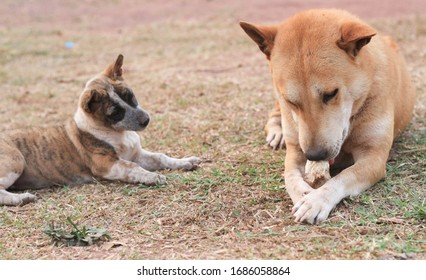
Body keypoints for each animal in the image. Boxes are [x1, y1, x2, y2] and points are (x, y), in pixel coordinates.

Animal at [0, 54, 201, 206]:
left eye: (130, 95)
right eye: (116, 112)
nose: (146, 120)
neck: (117, 133)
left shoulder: (137, 154)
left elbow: (161, 157)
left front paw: (184, 162)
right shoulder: (107, 165)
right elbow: (132, 168)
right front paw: (152, 177)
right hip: (16, 160)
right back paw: (21, 198)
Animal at [241, 8, 414, 223]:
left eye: (331, 94)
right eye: (291, 101)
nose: (314, 155)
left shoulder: (373, 157)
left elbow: (344, 177)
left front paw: (316, 200)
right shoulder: (295, 150)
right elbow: (290, 176)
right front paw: (304, 194)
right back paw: (276, 132)